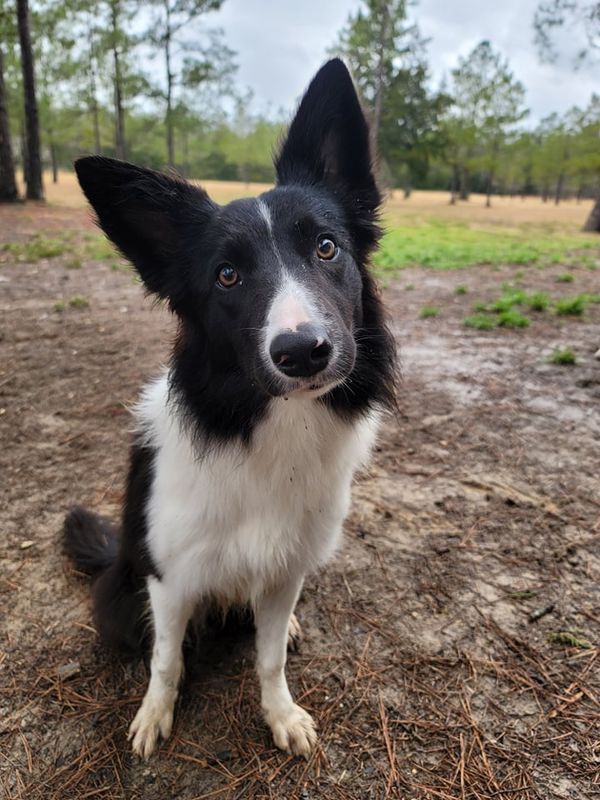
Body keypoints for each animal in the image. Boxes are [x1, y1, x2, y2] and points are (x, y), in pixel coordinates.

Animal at [64, 59, 394, 760]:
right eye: (227, 276)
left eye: (326, 247)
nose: (302, 352)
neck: (272, 428)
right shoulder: (170, 579)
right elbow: (166, 661)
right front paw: (155, 714)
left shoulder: (286, 569)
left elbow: (269, 658)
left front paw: (280, 713)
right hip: (126, 592)